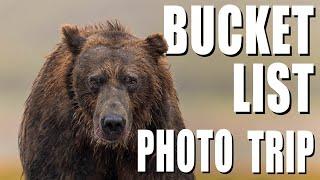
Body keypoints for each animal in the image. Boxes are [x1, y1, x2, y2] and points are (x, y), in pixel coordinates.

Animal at [18, 20, 195, 179]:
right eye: (94, 80)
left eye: (131, 80)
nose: (113, 123)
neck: (109, 149)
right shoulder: (59, 143)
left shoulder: (156, 139)